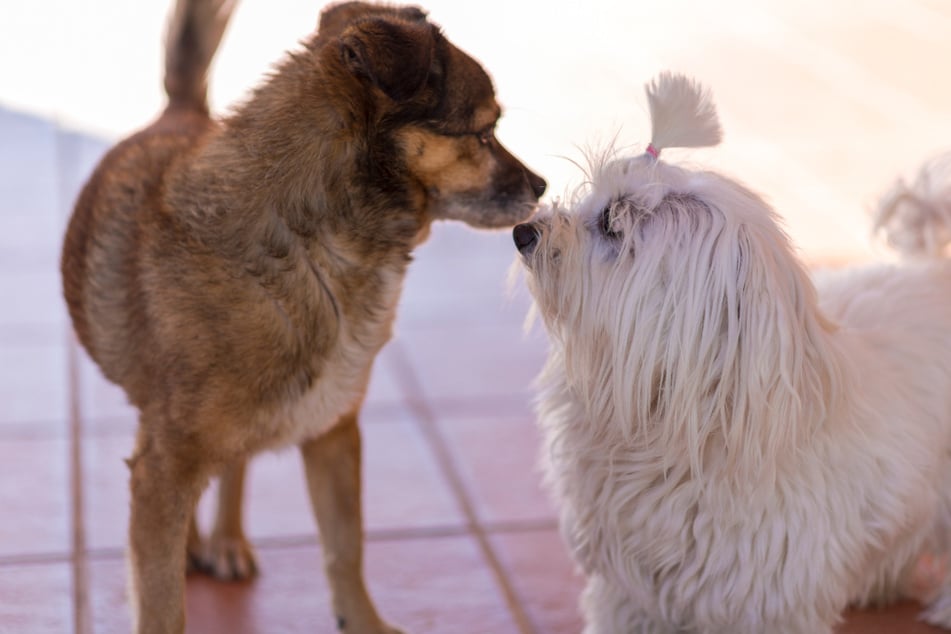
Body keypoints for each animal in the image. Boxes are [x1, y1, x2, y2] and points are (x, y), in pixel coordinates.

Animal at [59, 1, 548, 632]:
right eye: (484, 133)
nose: (543, 186)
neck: (314, 251)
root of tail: (182, 112)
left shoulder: (333, 433)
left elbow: (346, 549)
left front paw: (363, 621)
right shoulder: (163, 470)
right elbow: (162, 601)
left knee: (234, 467)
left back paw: (224, 540)